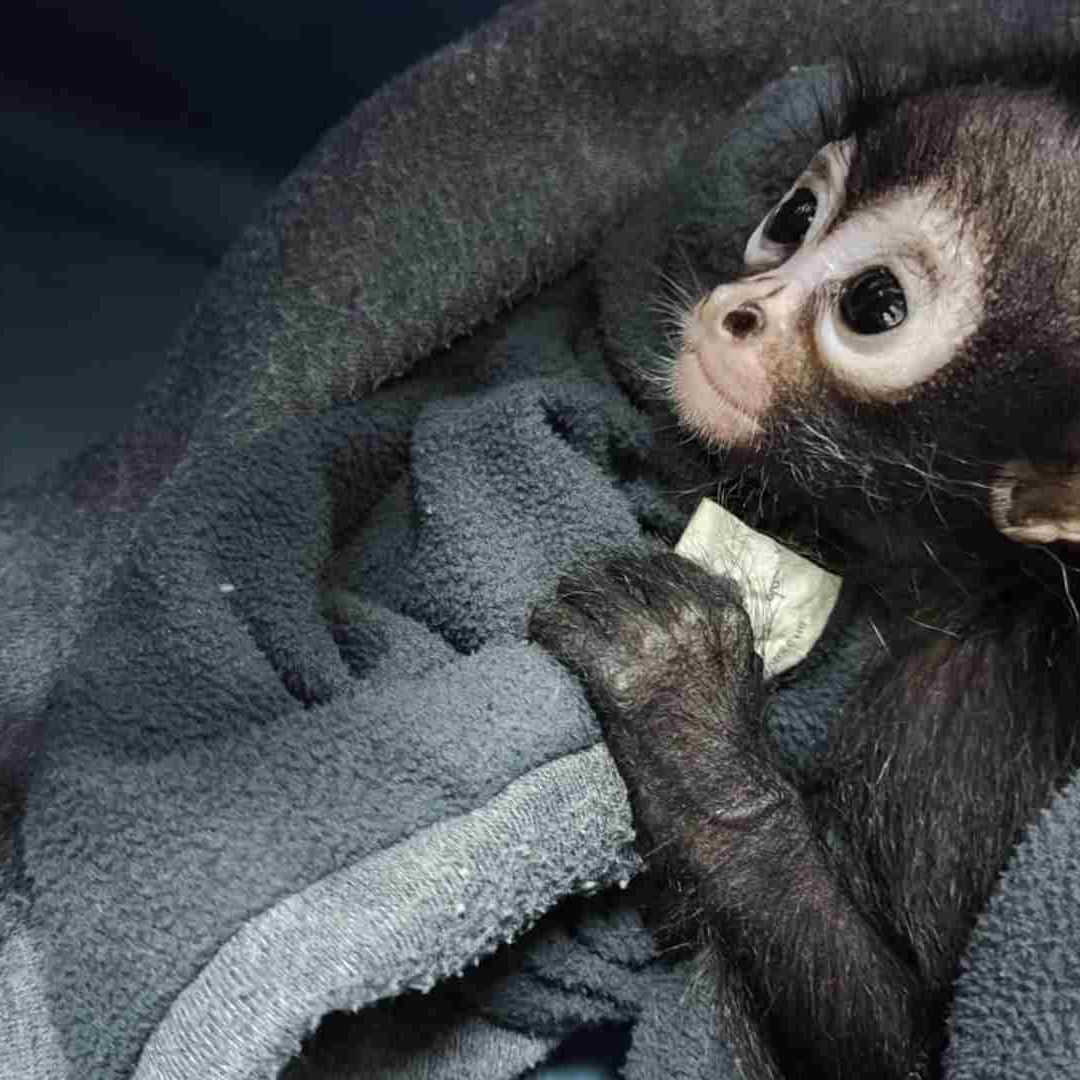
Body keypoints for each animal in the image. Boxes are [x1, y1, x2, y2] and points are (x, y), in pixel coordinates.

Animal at [530, 50, 1080, 1079]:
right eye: (795, 216)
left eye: (874, 306)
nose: (737, 313)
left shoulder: (981, 710)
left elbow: (902, 1048)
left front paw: (685, 721)